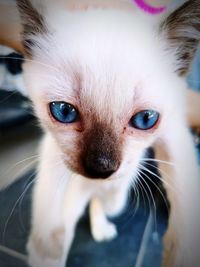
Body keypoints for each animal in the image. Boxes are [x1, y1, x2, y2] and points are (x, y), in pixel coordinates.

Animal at [3, 0, 200, 267]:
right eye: (64, 111)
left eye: (145, 119)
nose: (101, 168)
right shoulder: (55, 145)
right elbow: (48, 189)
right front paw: (46, 245)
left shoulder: (174, 129)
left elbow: (184, 183)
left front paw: (182, 256)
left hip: (119, 199)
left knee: (103, 202)